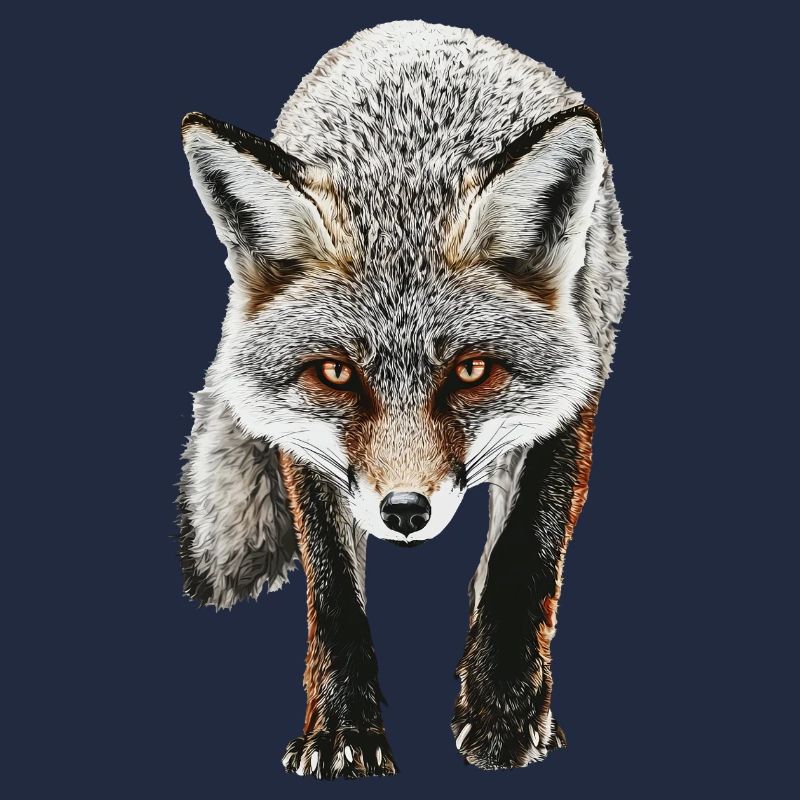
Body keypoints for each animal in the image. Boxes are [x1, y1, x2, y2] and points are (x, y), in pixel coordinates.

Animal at [177, 20, 628, 779]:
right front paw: (340, 729)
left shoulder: (572, 391)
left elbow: (522, 556)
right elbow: (334, 591)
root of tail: (415, 27)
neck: (405, 170)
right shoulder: (306, 443)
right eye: (335, 374)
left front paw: (505, 707)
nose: (406, 511)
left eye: (471, 371)